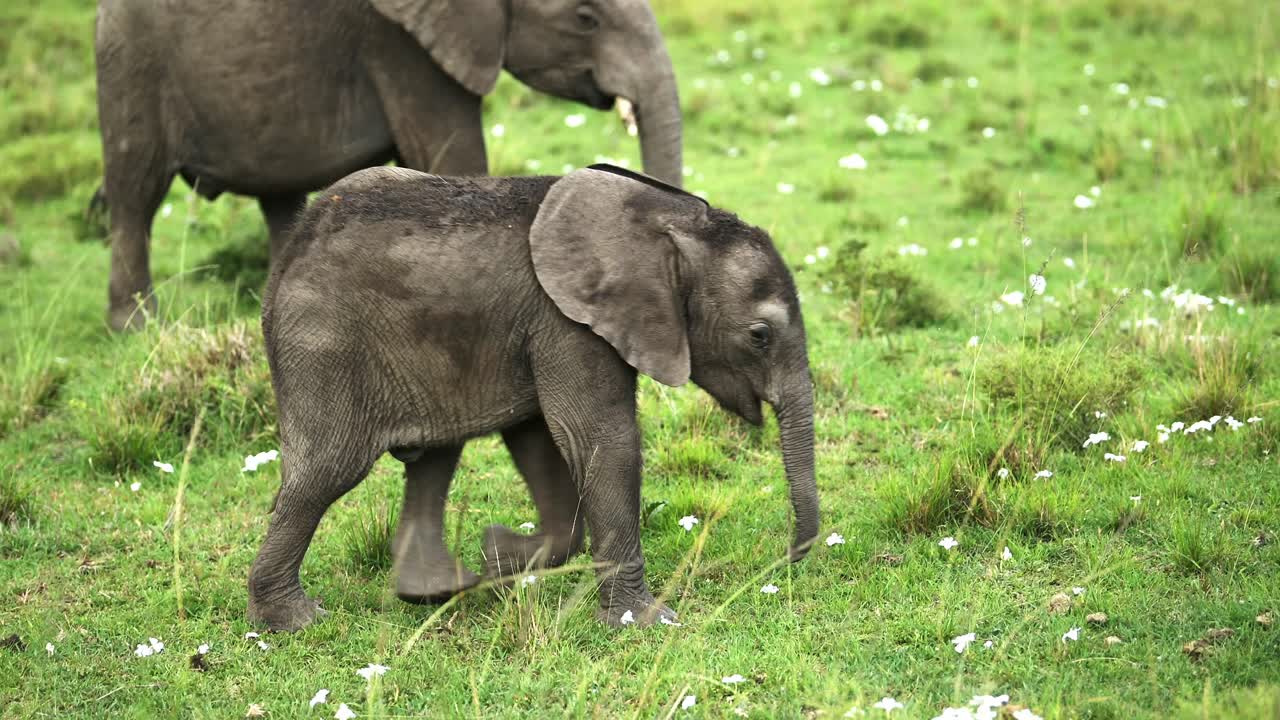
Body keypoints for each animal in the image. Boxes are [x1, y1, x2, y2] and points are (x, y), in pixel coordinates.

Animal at [94, 0, 683, 332]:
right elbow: (450, 153)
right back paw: (138, 328)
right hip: (130, 62)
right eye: (585, 19)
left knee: (280, 198)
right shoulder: (397, 44)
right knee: (135, 192)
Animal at [247, 164, 819, 631]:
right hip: (325, 345)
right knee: (326, 471)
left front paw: (497, 554)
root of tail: (292, 250)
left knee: (433, 457)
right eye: (759, 336)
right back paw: (294, 621)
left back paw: (436, 589)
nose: (787, 557)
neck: (669, 219)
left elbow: (541, 440)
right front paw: (645, 622)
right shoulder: (565, 321)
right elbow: (600, 439)